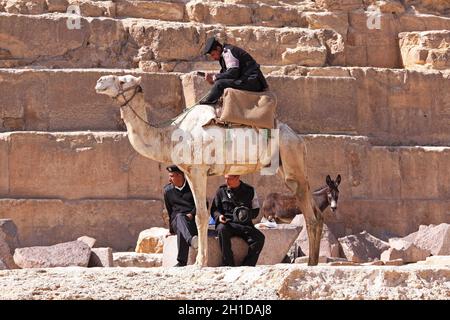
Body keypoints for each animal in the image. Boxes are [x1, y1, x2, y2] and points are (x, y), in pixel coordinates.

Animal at [95, 74, 326, 266]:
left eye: (122, 80)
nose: (99, 81)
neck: (170, 135)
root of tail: (299, 140)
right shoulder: (189, 172)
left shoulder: (198, 170)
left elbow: (201, 215)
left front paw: (200, 262)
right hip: (287, 166)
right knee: (315, 210)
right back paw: (313, 260)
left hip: (291, 158)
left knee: (310, 214)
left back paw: (311, 264)